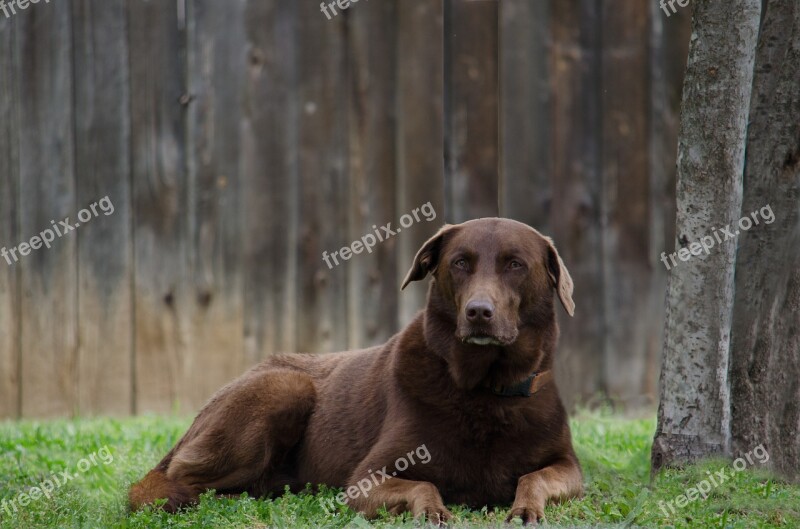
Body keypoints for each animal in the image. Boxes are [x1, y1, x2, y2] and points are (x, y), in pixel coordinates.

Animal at [130, 218, 580, 524]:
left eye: (515, 265)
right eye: (460, 263)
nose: (478, 312)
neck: (485, 387)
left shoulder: (569, 467)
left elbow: (533, 479)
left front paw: (524, 509)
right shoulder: (366, 479)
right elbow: (425, 484)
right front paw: (434, 511)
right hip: (284, 386)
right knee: (181, 482)